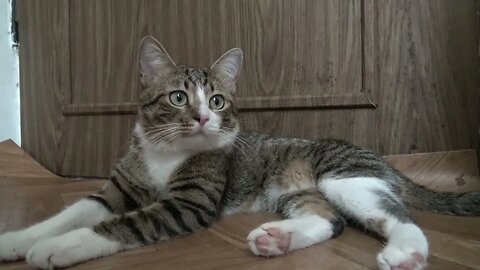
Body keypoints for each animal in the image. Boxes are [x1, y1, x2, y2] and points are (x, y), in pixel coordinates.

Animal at [0, 36, 480, 270]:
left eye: (217, 101)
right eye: (177, 97)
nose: (202, 118)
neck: (165, 153)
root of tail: (379, 159)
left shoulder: (189, 202)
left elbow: (123, 224)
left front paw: (57, 247)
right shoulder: (119, 188)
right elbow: (73, 211)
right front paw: (20, 239)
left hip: (343, 175)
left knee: (398, 216)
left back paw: (407, 253)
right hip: (294, 189)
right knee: (329, 219)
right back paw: (279, 238)